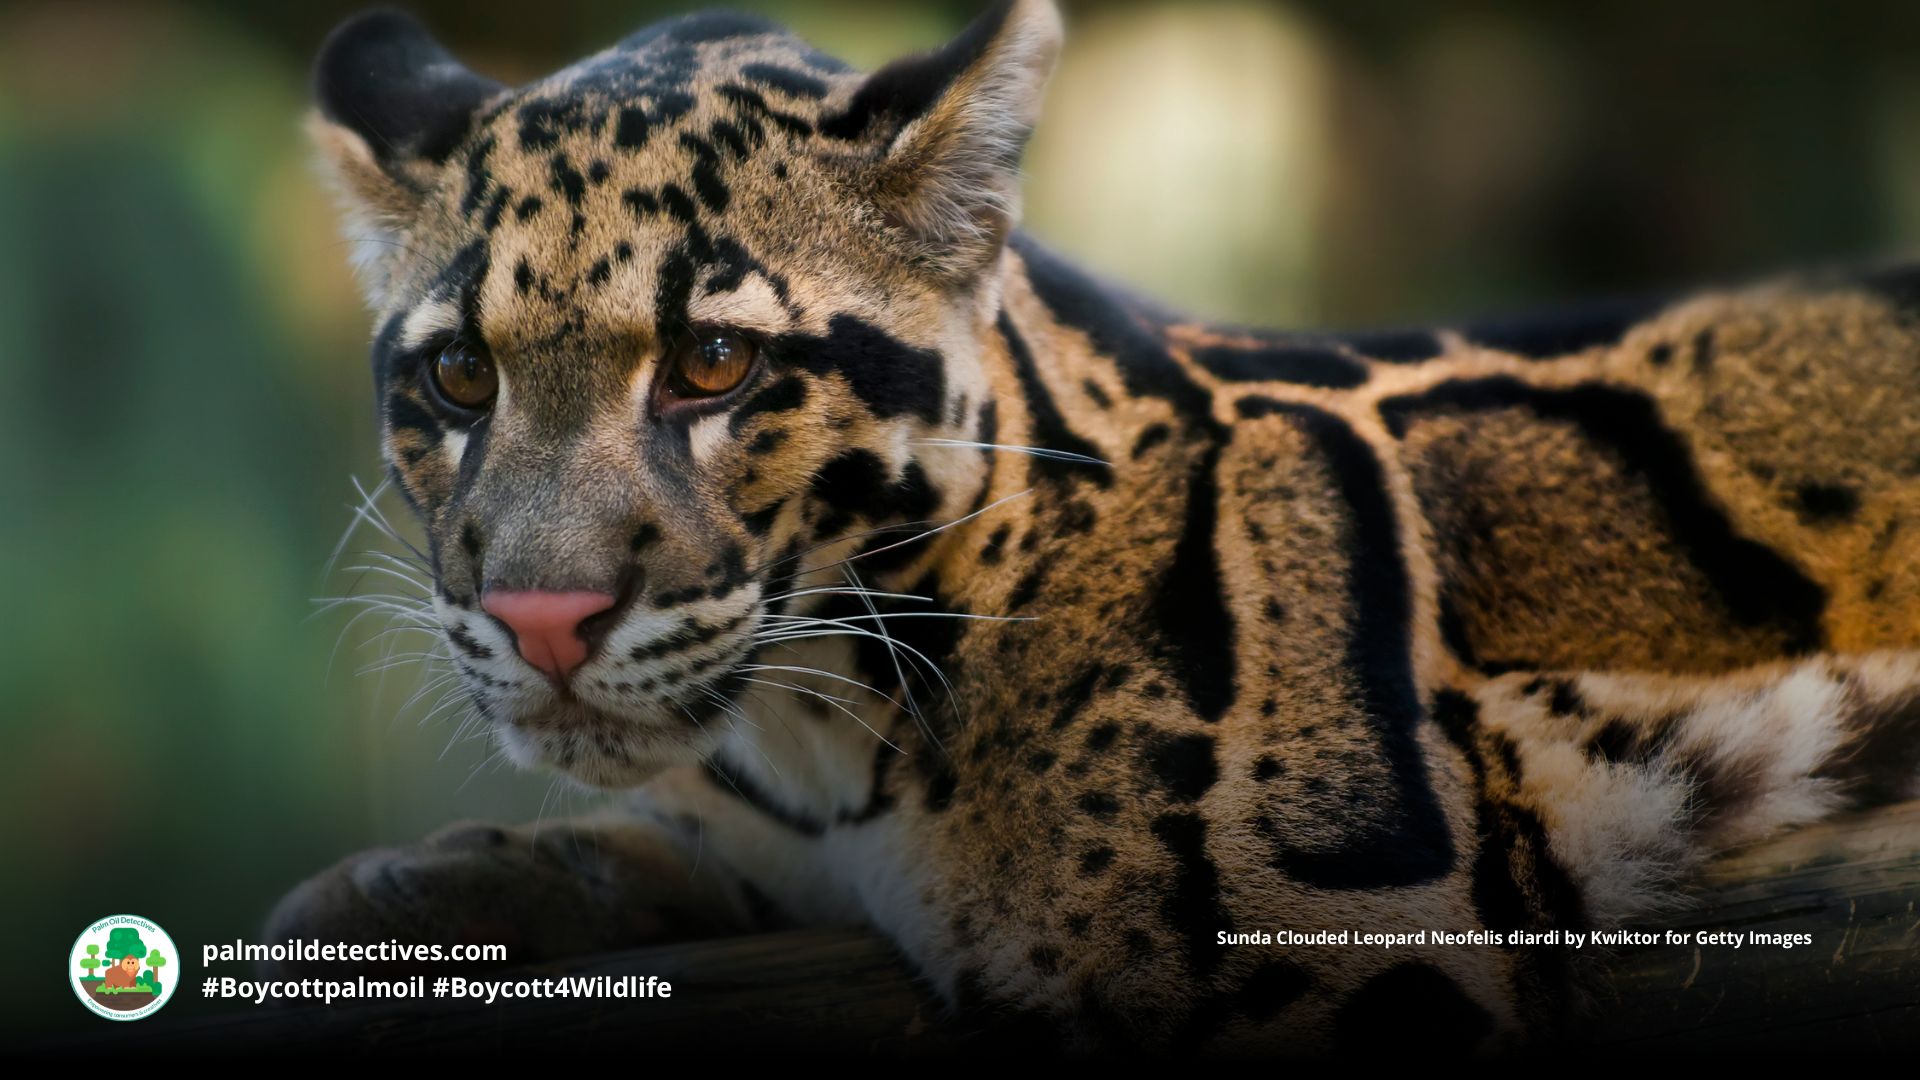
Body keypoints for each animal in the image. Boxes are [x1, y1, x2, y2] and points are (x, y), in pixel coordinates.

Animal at [270, 0, 1920, 1055]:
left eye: (716, 363)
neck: (837, 742)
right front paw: (399, 891)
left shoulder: (1371, 951)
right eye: (459, 375)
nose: (542, 618)